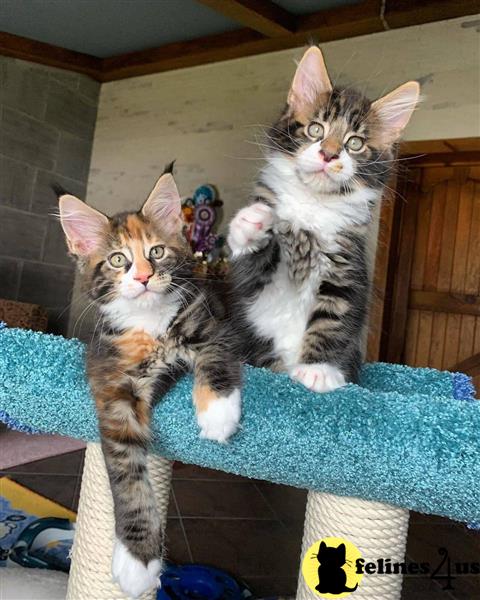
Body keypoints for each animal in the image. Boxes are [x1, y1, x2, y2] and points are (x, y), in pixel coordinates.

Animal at [58, 170, 242, 600]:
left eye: (156, 252)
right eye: (118, 260)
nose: (142, 277)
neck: (150, 324)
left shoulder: (213, 322)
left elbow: (214, 355)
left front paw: (218, 412)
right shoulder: (112, 388)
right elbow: (127, 476)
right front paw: (138, 561)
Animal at [227, 48, 418, 394]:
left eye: (354, 143)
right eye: (316, 130)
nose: (328, 154)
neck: (313, 205)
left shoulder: (347, 271)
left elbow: (333, 323)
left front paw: (318, 371)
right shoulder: (257, 287)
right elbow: (257, 263)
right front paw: (252, 224)